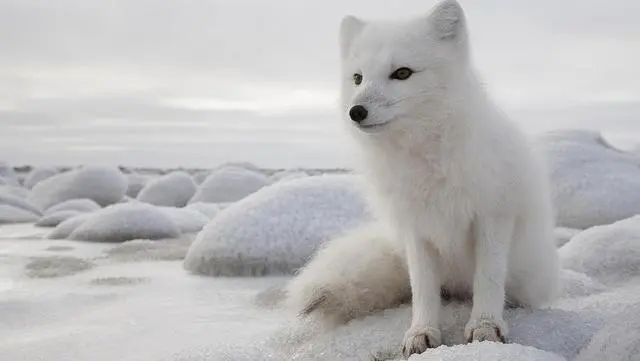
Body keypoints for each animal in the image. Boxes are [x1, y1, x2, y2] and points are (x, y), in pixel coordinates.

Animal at [284, 0, 560, 354]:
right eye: (358, 78)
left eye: (402, 73)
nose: (355, 112)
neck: (424, 158)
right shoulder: (416, 228)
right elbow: (423, 289)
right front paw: (421, 333)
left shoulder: (494, 215)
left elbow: (488, 279)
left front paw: (485, 328)